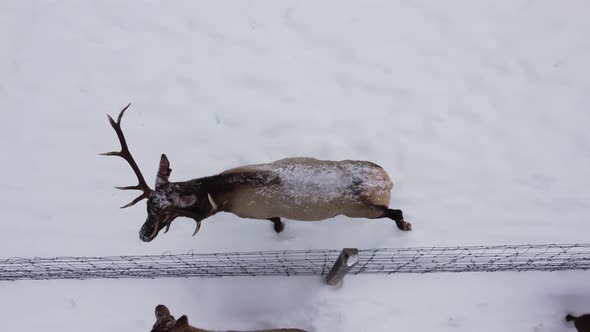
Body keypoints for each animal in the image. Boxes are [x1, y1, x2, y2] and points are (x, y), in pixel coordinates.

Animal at [104, 103, 412, 241]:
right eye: (147, 208)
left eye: (166, 211)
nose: (143, 234)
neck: (222, 199)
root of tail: (386, 180)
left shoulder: (252, 211)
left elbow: (274, 219)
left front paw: (279, 228)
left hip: (360, 209)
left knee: (393, 211)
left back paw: (405, 225)